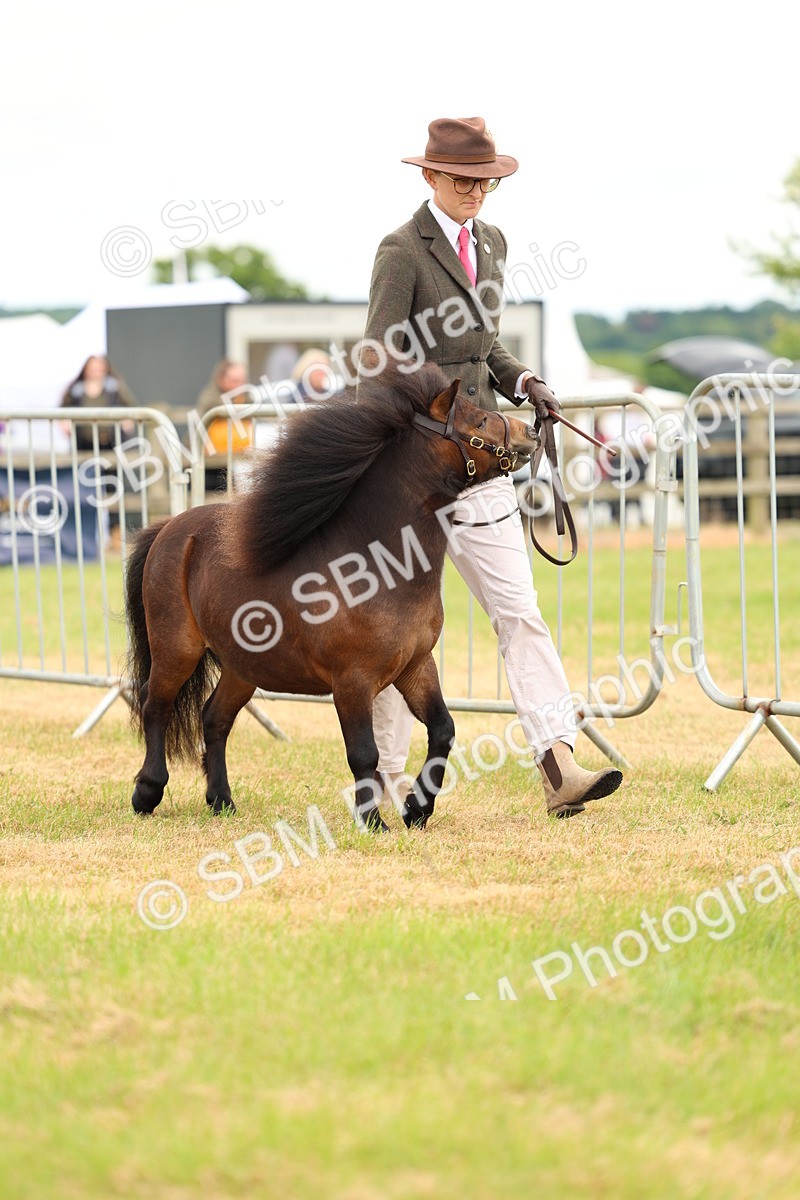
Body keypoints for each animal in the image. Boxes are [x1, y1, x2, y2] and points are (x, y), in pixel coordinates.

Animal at [124, 361, 541, 831]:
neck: (376, 565)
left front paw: (417, 809)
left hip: (242, 666)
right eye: (480, 422)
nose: (532, 432)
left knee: (214, 719)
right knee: (155, 706)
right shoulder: (352, 682)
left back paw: (222, 800)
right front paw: (373, 821)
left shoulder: (415, 666)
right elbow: (364, 753)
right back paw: (147, 791)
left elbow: (443, 731)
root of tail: (171, 529)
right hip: (176, 648)